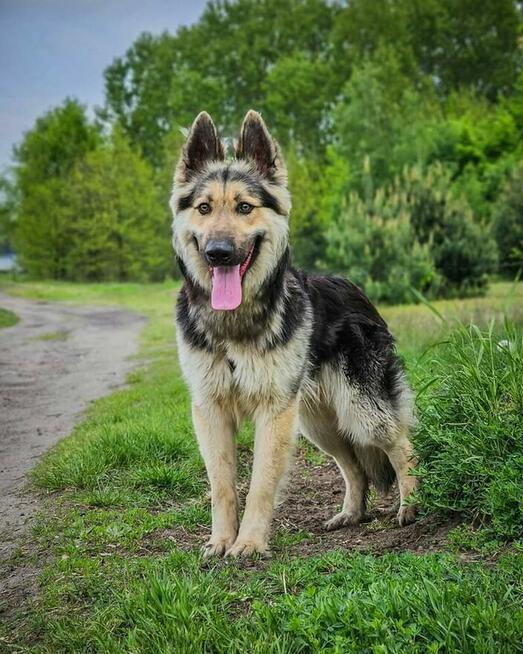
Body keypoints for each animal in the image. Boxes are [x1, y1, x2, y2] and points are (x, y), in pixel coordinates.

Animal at [170, 109, 420, 560]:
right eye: (204, 208)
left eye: (244, 207)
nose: (218, 253)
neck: (234, 325)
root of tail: (357, 290)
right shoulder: (211, 410)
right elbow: (222, 485)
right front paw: (221, 540)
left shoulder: (274, 413)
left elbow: (260, 484)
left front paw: (249, 543)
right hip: (317, 423)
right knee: (353, 466)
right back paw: (351, 514)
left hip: (359, 412)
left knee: (401, 446)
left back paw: (411, 505)